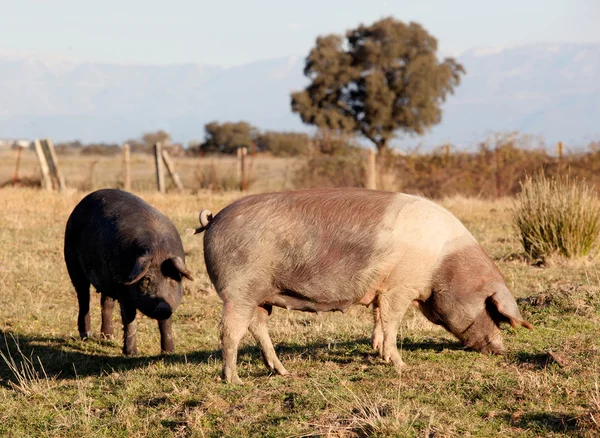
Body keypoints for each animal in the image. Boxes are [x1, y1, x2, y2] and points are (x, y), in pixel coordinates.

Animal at [63, 188, 191, 356]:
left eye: (172, 278)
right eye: (146, 279)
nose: (162, 307)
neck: (158, 251)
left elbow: (166, 324)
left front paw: (168, 352)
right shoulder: (122, 287)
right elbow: (130, 319)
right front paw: (131, 353)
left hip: (107, 279)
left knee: (106, 302)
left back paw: (108, 336)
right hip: (73, 263)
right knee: (83, 298)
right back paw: (86, 335)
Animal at [191, 188, 528, 384]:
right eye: (492, 309)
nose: (501, 348)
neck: (442, 262)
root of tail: (213, 219)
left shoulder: (383, 289)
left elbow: (378, 318)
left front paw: (377, 351)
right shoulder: (400, 286)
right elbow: (392, 321)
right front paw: (400, 365)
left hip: (262, 296)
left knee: (257, 327)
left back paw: (282, 372)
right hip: (238, 289)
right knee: (230, 331)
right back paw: (234, 380)